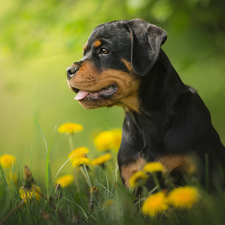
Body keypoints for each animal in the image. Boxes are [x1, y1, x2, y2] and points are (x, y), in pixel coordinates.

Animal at [66, 18, 225, 190]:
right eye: (84, 52)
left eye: (104, 50)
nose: (68, 71)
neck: (147, 120)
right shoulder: (133, 178)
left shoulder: (199, 173)